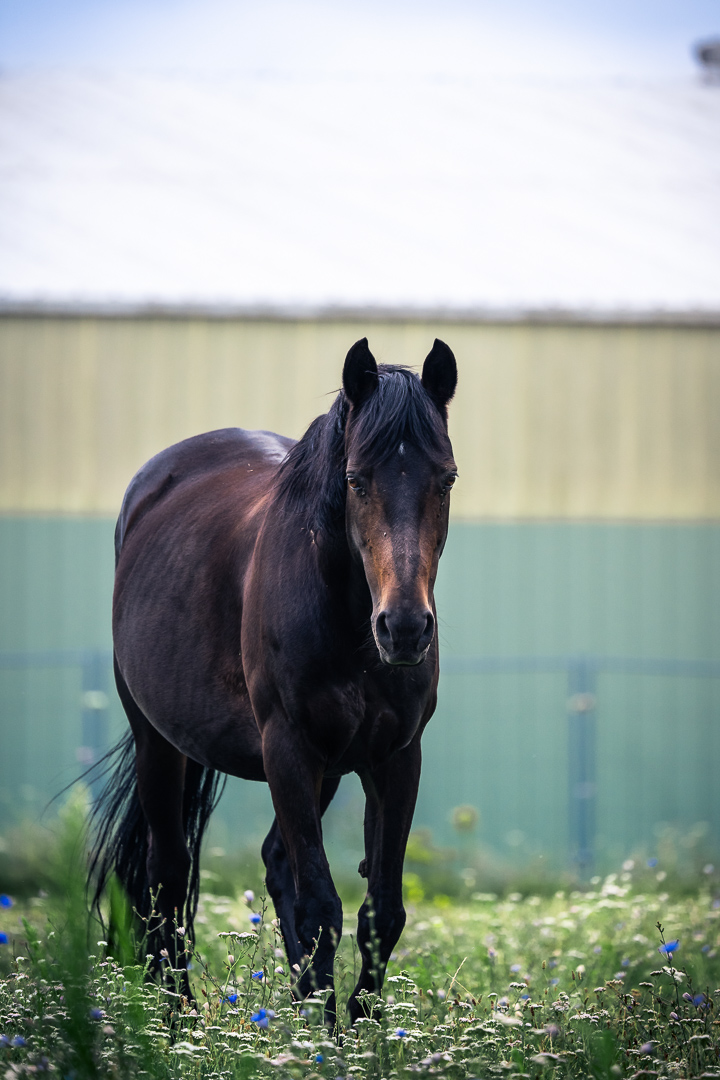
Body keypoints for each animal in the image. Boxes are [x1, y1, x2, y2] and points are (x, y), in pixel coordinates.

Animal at [91, 336, 457, 1025]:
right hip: (159, 741)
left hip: (329, 769)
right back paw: (177, 1017)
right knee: (167, 871)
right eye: (356, 480)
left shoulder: (395, 758)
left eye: (445, 478)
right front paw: (325, 1035)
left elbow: (381, 911)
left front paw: (356, 1028)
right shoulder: (287, 747)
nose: (403, 628)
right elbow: (320, 908)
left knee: (275, 862)